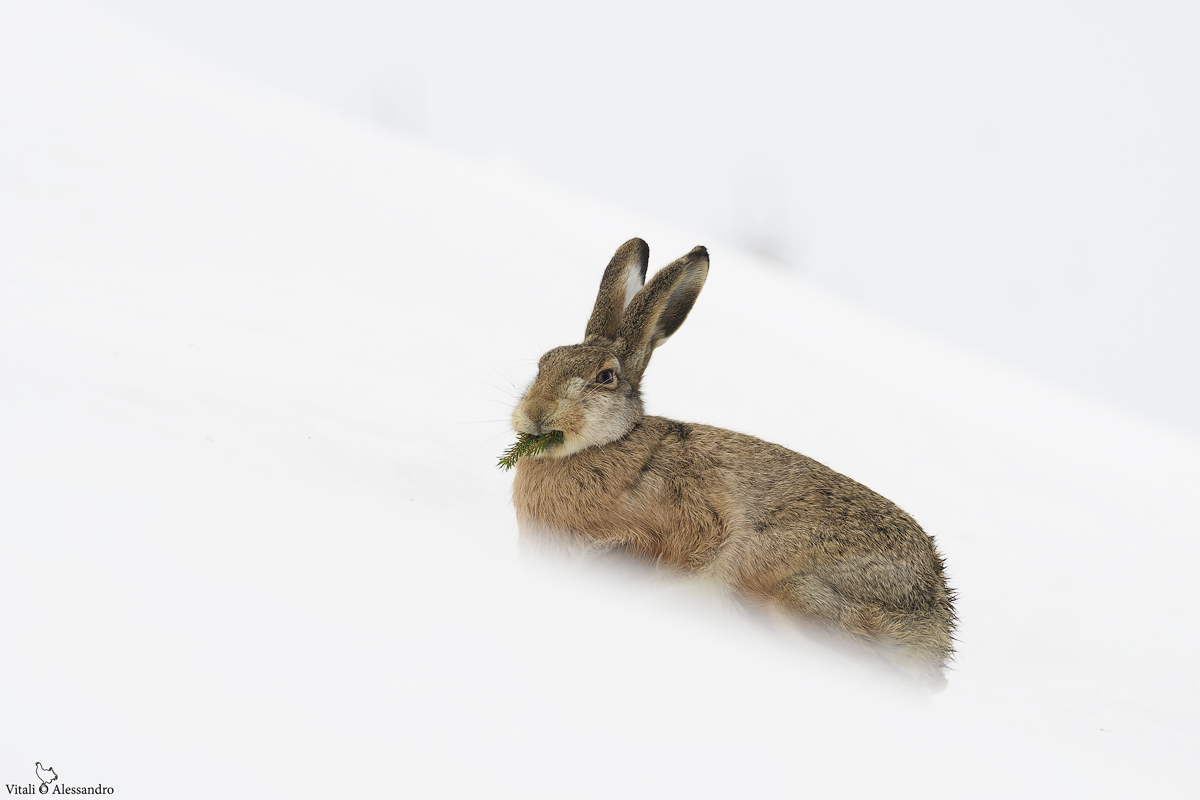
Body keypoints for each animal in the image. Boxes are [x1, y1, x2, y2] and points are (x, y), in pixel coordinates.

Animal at [510, 238, 956, 685]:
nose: (536, 413)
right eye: (544, 363)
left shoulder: (693, 528)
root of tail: (936, 623)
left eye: (605, 377)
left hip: (784, 586)